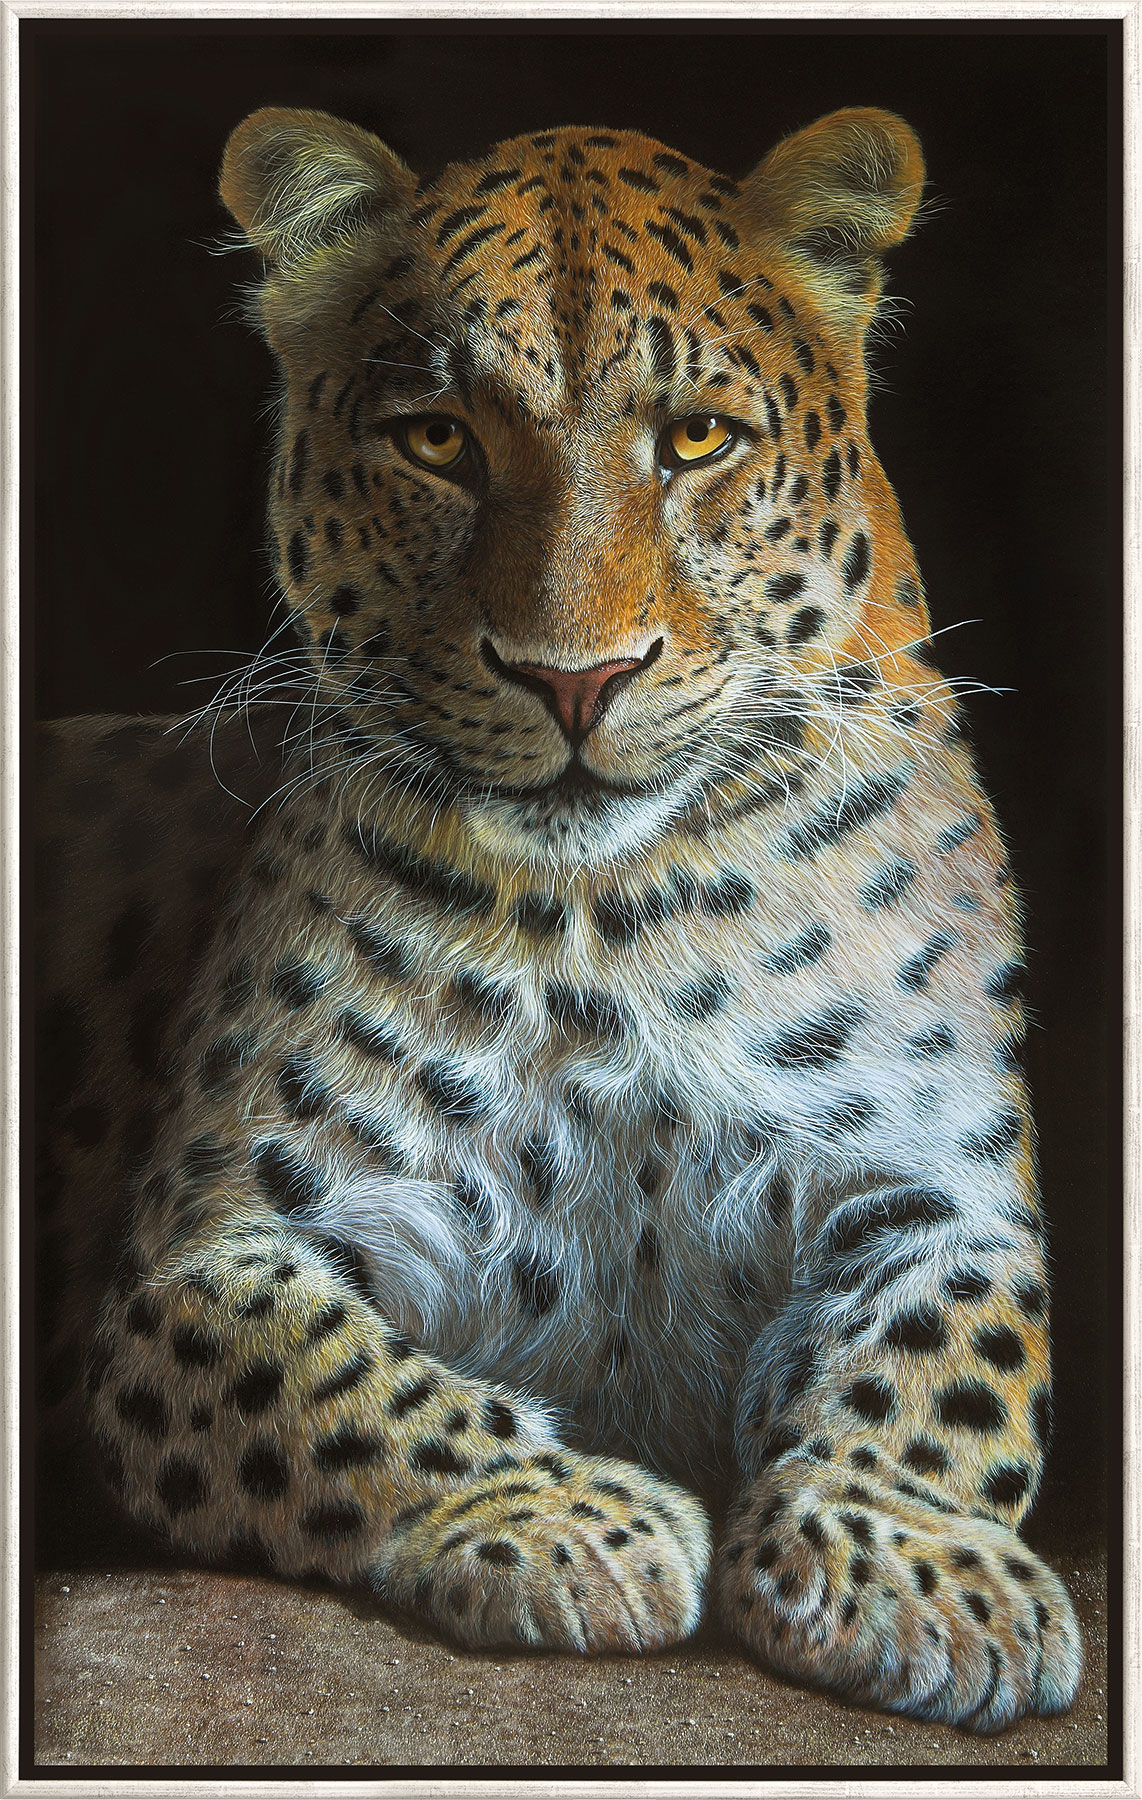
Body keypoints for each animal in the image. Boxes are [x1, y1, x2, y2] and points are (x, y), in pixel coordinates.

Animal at [35, 104, 1083, 1734]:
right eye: (438, 440)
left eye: (696, 440)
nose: (572, 679)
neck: (620, 918)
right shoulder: (216, 1249)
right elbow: (342, 1387)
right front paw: (568, 1517)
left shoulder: (933, 1182)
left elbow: (938, 1367)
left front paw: (913, 1564)